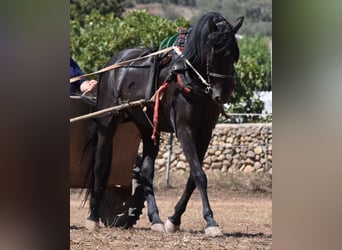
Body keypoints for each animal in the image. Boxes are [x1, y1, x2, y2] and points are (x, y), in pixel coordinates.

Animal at [87, 11, 244, 236]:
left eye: (234, 55)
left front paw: (174, 219)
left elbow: (193, 178)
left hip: (146, 126)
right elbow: (199, 174)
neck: (188, 76)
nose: (222, 94)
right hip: (107, 122)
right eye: (214, 53)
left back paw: (156, 219)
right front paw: (211, 221)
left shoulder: (205, 133)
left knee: (145, 173)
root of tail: (114, 64)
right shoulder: (185, 130)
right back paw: (92, 217)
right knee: (100, 165)